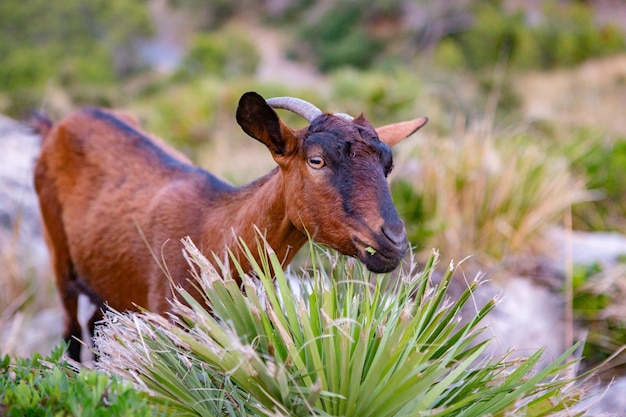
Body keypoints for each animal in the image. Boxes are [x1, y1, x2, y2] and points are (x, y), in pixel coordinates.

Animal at [33, 92, 424, 360]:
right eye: (316, 160)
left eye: (387, 164)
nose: (392, 240)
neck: (213, 238)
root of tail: (59, 126)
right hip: (58, 256)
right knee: (71, 332)